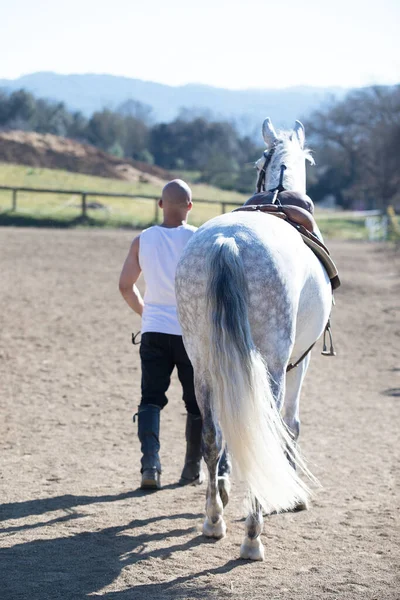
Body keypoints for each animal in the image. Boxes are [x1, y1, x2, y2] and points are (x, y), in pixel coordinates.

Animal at [177, 118, 332, 564]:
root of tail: (230, 241)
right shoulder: (301, 361)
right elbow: (290, 425)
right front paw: (294, 495)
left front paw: (226, 489)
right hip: (273, 363)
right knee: (265, 424)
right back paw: (252, 537)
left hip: (203, 362)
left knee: (213, 433)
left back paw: (214, 520)